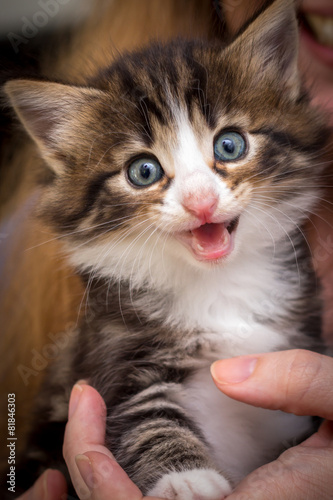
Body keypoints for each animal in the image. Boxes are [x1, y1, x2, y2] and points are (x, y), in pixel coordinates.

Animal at [5, 0, 330, 498]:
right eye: (143, 171)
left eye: (230, 145)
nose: (201, 201)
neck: (218, 285)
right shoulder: (114, 352)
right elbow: (147, 415)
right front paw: (186, 478)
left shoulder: (299, 334)